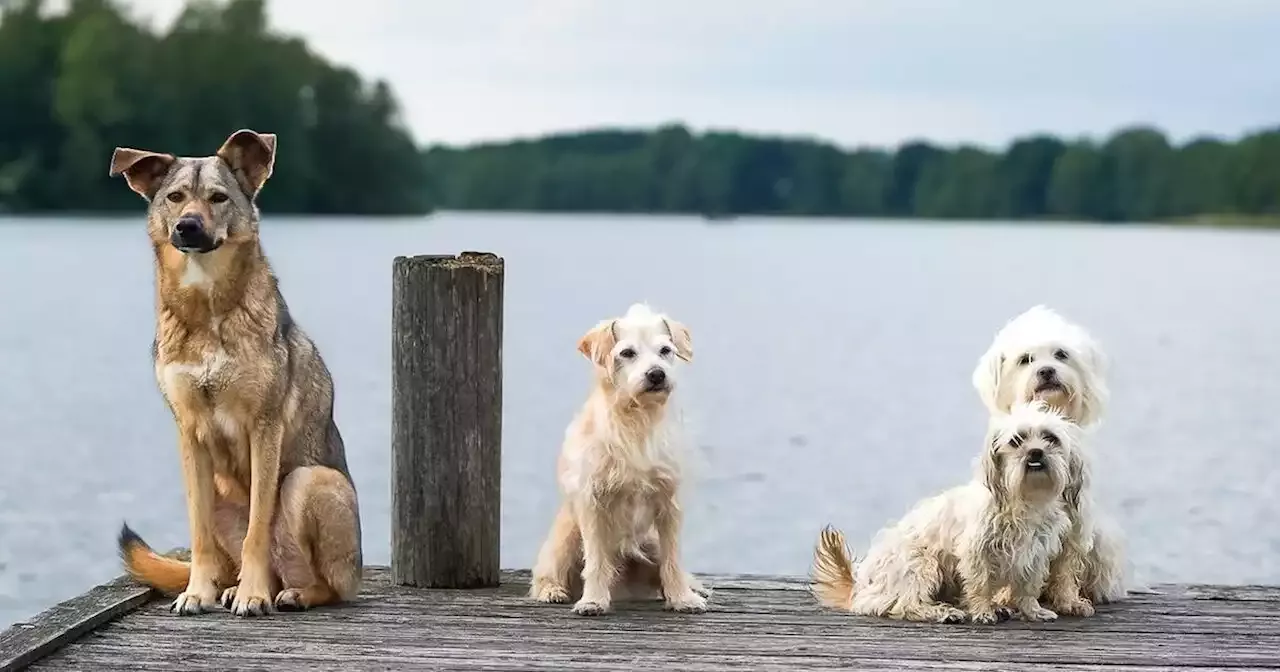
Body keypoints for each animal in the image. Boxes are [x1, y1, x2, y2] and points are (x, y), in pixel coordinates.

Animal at [107, 128, 363, 616]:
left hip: (309, 482)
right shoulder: (189, 433)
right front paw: (197, 592)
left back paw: (288, 594)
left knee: (327, 584)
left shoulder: (263, 427)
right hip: (223, 494)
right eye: (175, 197)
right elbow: (199, 535)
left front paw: (253, 595)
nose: (187, 226)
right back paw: (229, 588)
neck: (207, 307)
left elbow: (257, 530)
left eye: (218, 197)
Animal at [529, 302, 711, 611]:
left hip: (649, 541)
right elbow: (596, 560)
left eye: (665, 350)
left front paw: (682, 598)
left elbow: (673, 558)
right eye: (627, 353)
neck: (638, 418)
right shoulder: (593, 503)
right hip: (565, 538)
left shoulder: (669, 502)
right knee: (547, 571)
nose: (657, 374)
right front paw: (592, 600)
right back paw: (552, 590)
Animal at [808, 399, 1080, 624]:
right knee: (903, 604)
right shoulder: (976, 552)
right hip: (921, 563)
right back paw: (942, 612)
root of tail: (861, 587)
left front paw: (1032, 611)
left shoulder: (1035, 554)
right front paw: (983, 611)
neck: (1024, 498)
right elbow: (979, 584)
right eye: (1017, 440)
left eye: (1050, 438)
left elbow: (1028, 588)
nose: (1035, 452)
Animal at [972, 304, 1126, 606]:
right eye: (1026, 360)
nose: (1046, 371)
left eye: (1061, 354)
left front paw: (1069, 600)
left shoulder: (1077, 518)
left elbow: (1068, 563)